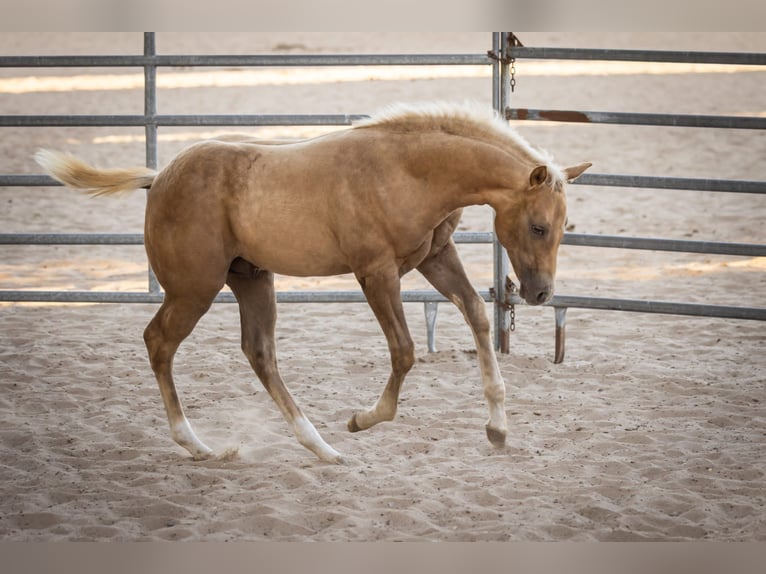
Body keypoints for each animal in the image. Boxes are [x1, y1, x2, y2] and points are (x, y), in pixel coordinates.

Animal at [36, 101, 591, 464]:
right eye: (538, 226)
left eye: (566, 226)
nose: (541, 294)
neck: (408, 170)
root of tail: (159, 177)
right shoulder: (376, 272)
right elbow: (405, 351)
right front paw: (362, 419)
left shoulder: (434, 256)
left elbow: (476, 315)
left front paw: (498, 429)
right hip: (194, 288)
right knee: (159, 342)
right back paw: (198, 444)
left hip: (252, 280)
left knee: (259, 353)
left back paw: (320, 448)